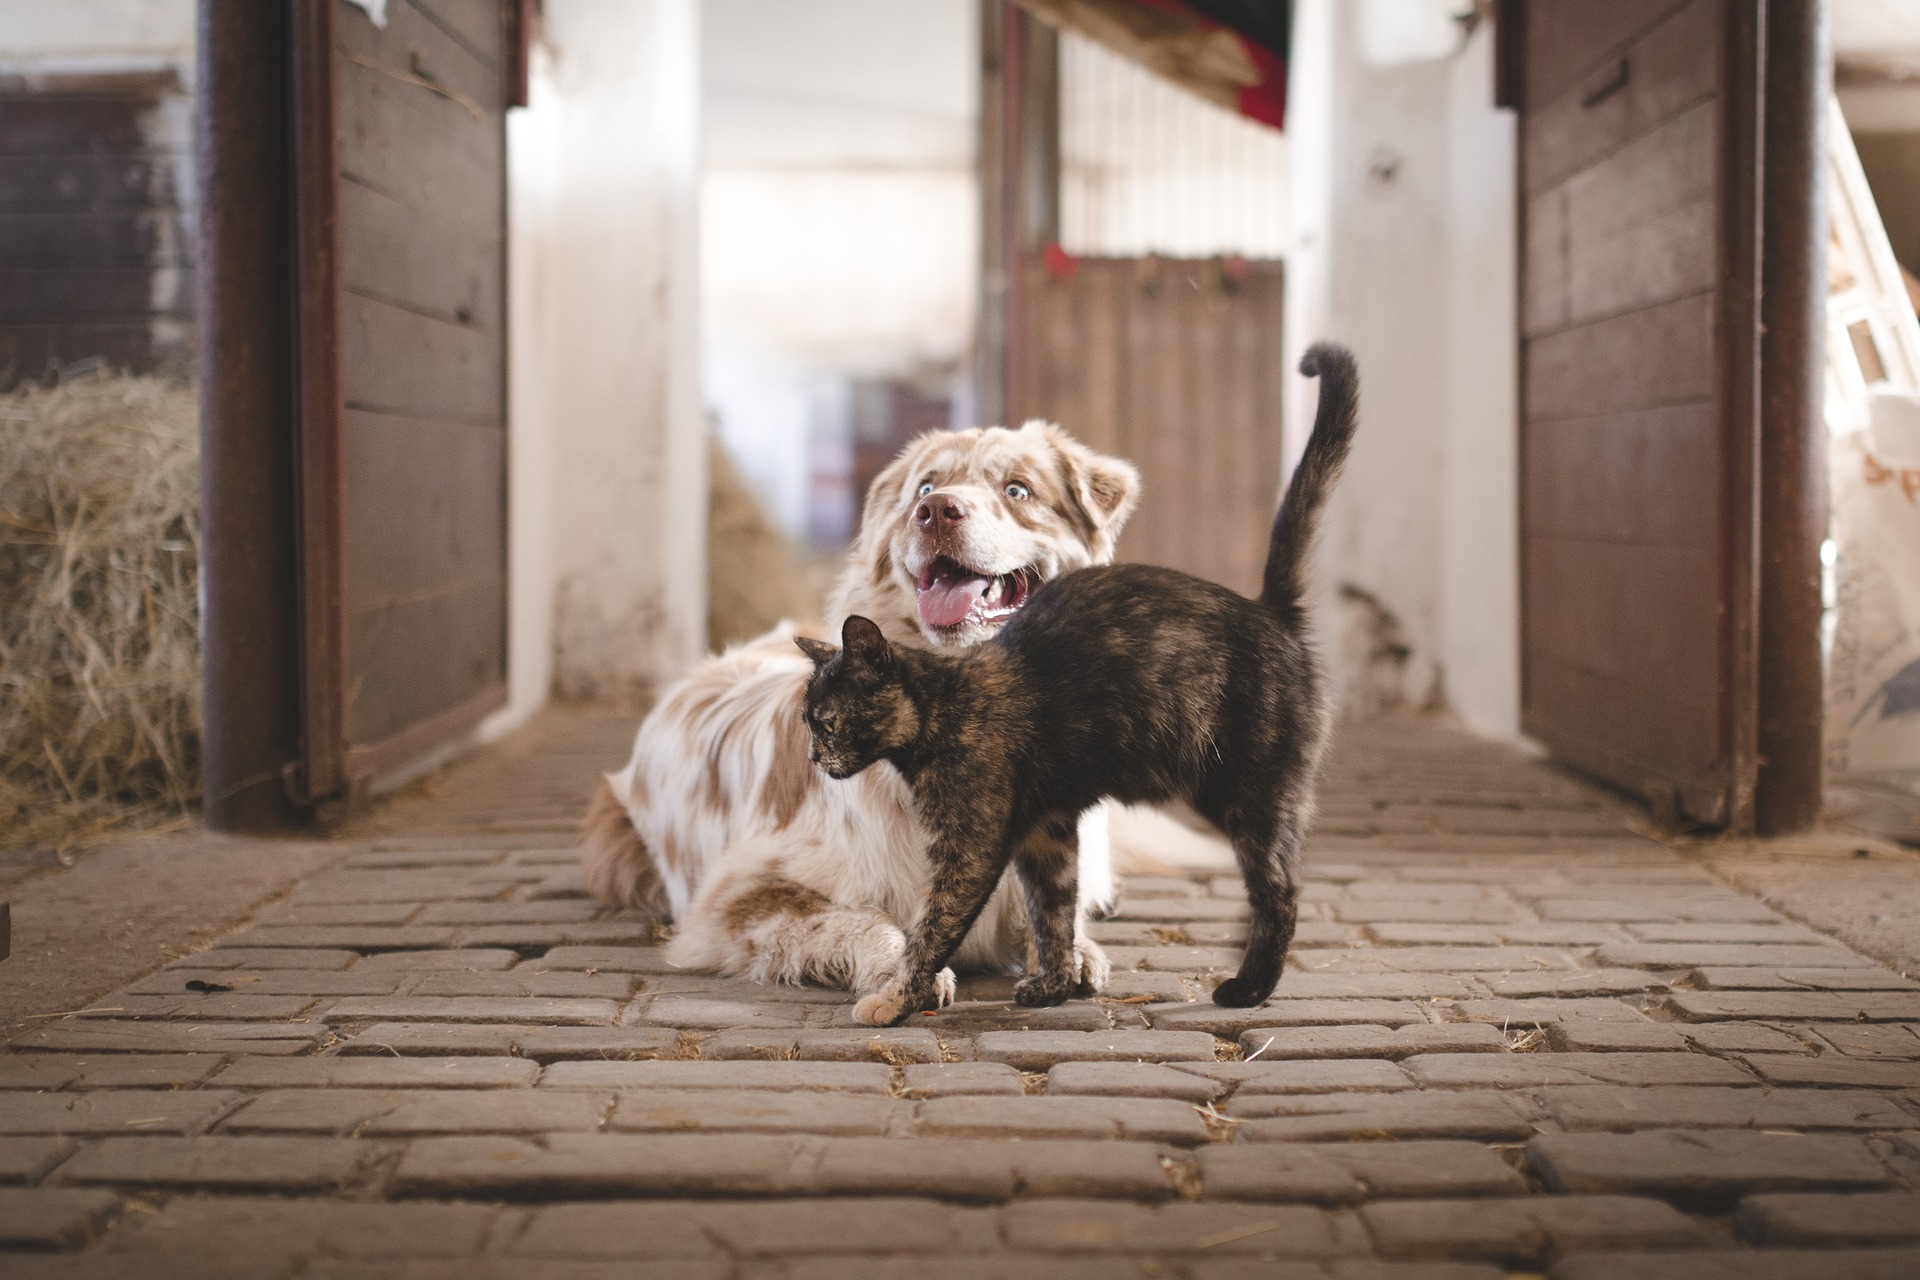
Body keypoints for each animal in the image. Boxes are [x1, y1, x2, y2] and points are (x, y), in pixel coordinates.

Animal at [579, 420, 1136, 997]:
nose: (936, 511)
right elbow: (864, 921)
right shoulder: (736, 896)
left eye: (1017, 490)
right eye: (925, 488)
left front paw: (1073, 952)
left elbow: (1050, 908)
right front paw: (900, 973)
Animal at [794, 345, 1367, 1028]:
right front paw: (1054, 984)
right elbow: (1053, 914)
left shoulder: (971, 848)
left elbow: (930, 930)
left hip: (1249, 794)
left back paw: (1248, 987)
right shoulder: (1047, 833)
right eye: (807, 723)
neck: (944, 705)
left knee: (1281, 890)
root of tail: (1269, 611)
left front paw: (894, 998)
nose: (813, 757)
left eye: (827, 722)